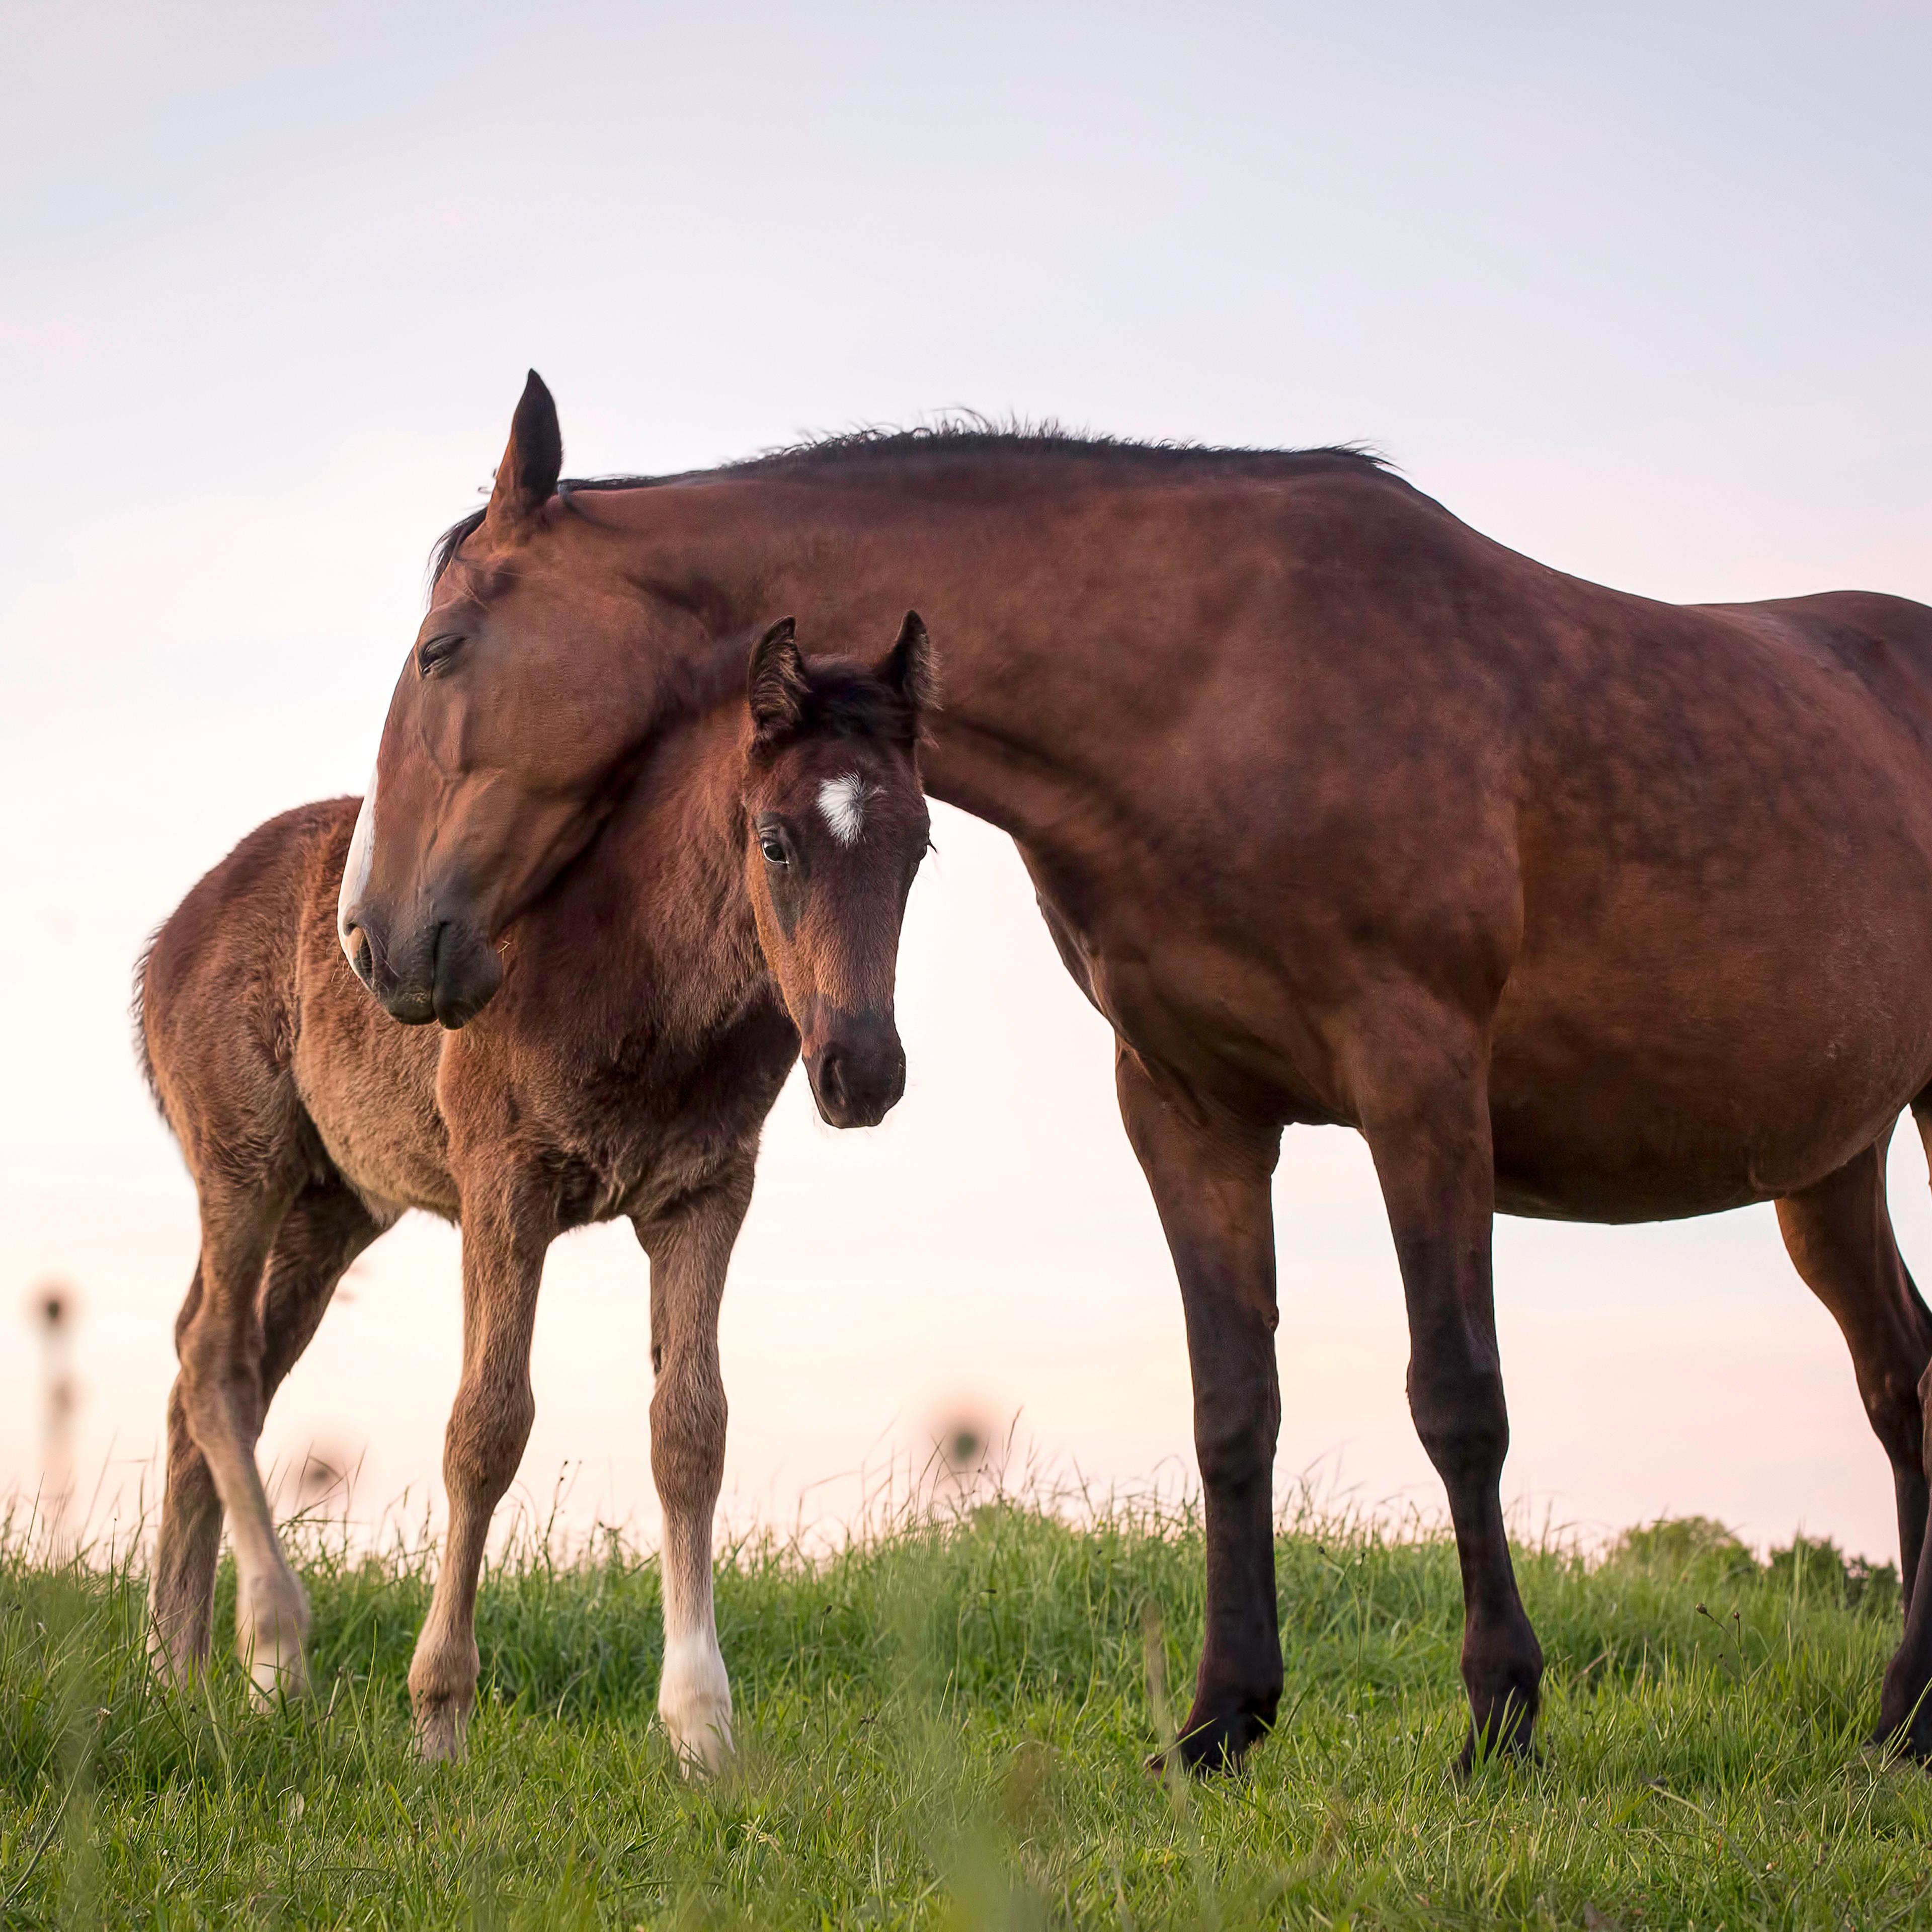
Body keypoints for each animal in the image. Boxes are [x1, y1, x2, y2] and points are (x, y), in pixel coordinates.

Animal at [137, 610, 935, 1765]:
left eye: (919, 845)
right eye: (775, 840)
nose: (863, 1072)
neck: (637, 962)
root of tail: (172, 935)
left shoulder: (705, 1193)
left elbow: (690, 1430)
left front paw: (703, 1731)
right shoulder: (503, 1182)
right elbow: (486, 1427)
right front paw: (438, 1719)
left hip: (333, 1210)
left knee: (210, 1374)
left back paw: (178, 1670)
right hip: (247, 1164)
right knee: (214, 1360)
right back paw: (273, 1648)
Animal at [341, 372, 1932, 1773]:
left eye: (442, 650)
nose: (376, 934)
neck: (1222, 681)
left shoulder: (1420, 1087)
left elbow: (1455, 1397)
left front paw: (1499, 1719)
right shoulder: (1186, 1107)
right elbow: (1232, 1406)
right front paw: (1223, 1720)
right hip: (1829, 1164)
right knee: (1900, 1375)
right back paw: (1903, 1716)